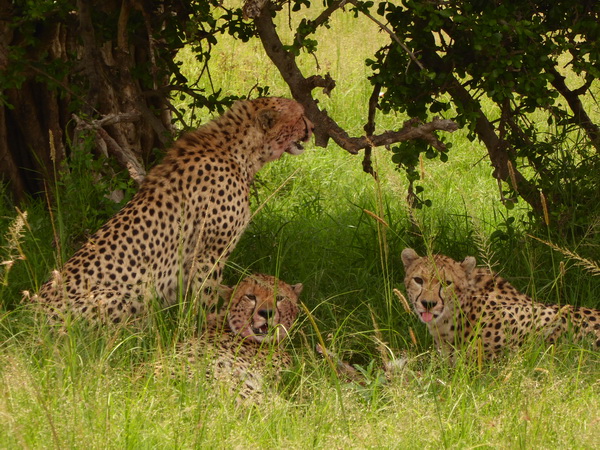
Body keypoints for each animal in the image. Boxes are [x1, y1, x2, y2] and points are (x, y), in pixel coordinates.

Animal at [31, 98, 314, 324]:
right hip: (120, 296)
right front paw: (208, 324)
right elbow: (206, 293)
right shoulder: (209, 252)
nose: (312, 127)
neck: (240, 152)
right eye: (300, 115)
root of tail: (27, 317)